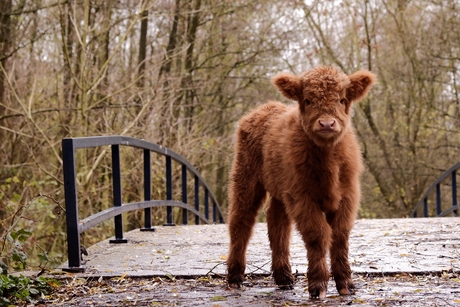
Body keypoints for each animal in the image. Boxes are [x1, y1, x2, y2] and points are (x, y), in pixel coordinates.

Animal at [227, 66, 378, 300]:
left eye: (342, 99)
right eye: (308, 100)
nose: (327, 124)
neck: (328, 163)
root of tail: (265, 108)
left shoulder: (348, 196)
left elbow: (340, 236)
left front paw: (346, 284)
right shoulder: (303, 198)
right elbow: (318, 235)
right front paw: (318, 285)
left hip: (281, 188)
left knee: (277, 223)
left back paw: (284, 277)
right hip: (246, 178)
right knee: (241, 221)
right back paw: (235, 277)